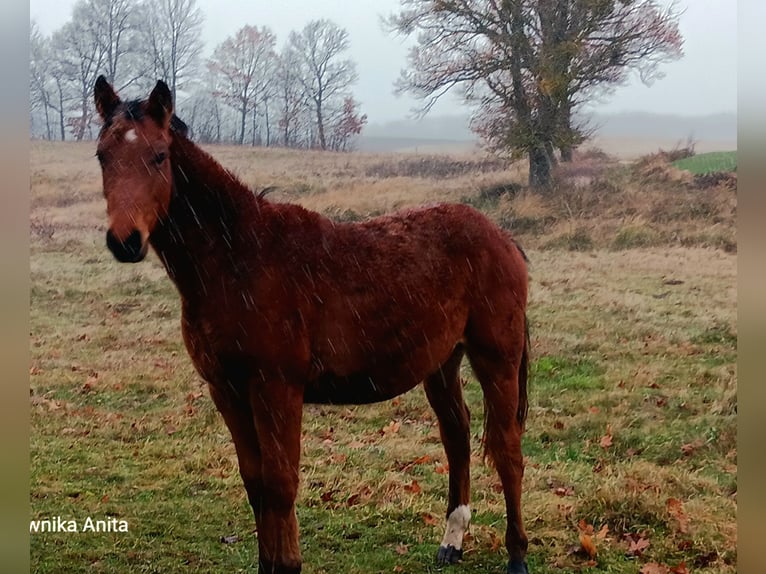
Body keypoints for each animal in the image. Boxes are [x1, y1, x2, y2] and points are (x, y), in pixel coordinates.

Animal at [93, 77, 532, 574]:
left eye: (159, 156)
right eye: (102, 155)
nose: (125, 241)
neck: (237, 259)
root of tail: (502, 237)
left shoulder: (276, 388)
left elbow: (281, 483)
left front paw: (287, 564)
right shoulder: (227, 390)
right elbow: (256, 485)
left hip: (496, 356)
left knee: (507, 449)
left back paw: (517, 554)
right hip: (440, 363)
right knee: (457, 437)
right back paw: (452, 541)